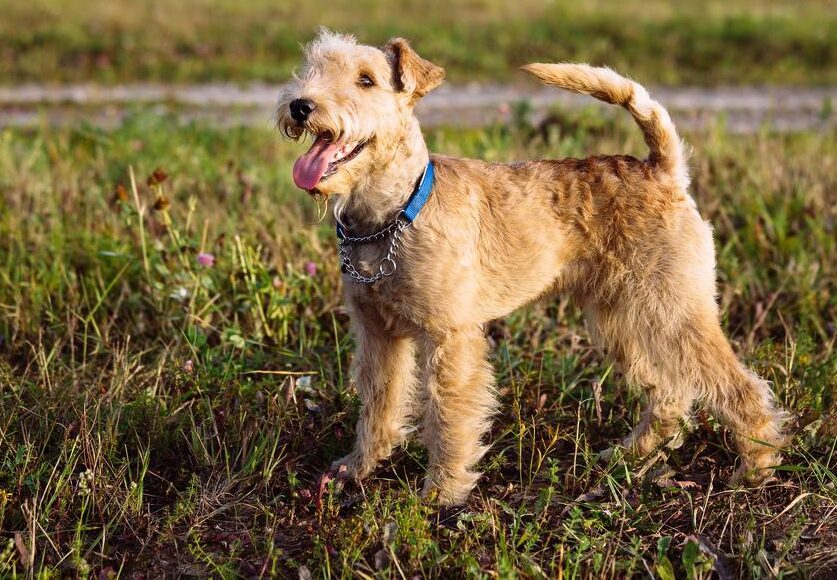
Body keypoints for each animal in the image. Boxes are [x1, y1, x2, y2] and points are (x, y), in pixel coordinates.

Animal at [274, 29, 784, 506]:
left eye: (366, 79)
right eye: (312, 66)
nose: (300, 105)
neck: (393, 214)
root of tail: (662, 170)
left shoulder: (450, 338)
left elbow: (449, 416)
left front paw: (442, 492)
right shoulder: (377, 334)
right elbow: (378, 405)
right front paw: (356, 468)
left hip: (675, 308)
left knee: (738, 387)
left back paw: (756, 466)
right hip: (623, 317)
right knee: (670, 392)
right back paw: (629, 453)